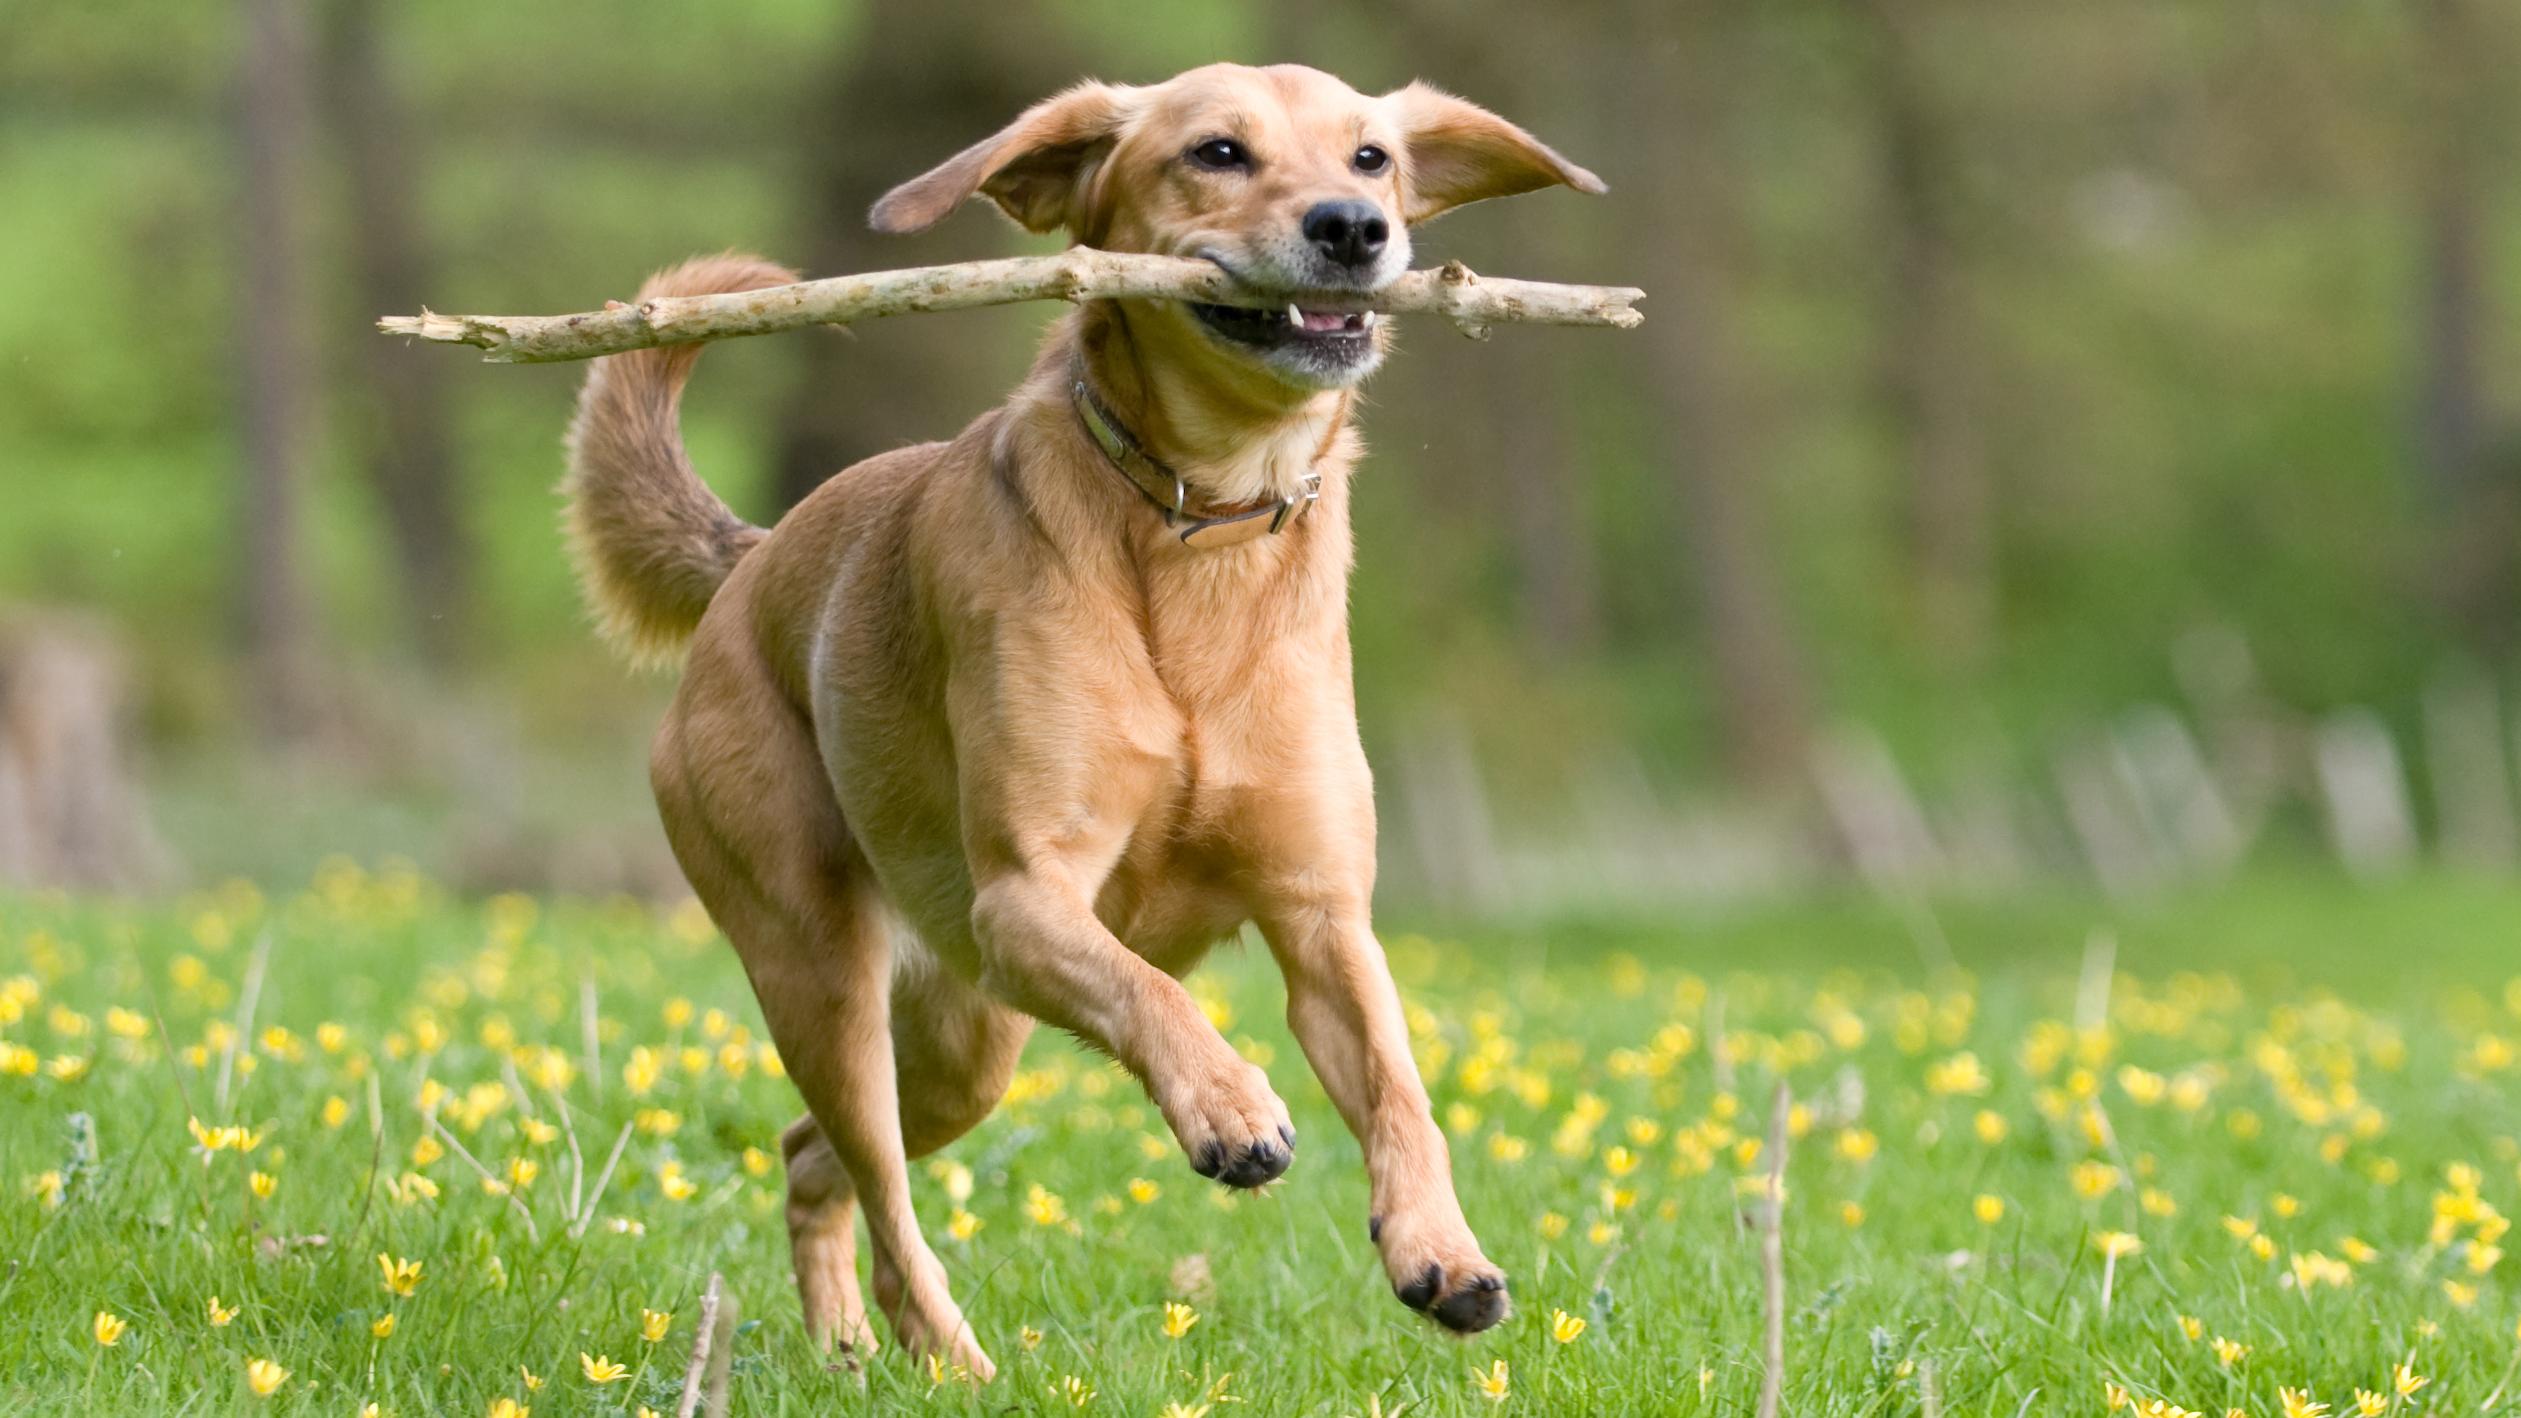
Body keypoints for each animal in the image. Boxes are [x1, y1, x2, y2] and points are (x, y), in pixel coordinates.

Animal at [564, 63, 1603, 1372]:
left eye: (1371, 156)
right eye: (1217, 152)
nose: (1354, 229)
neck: (1203, 523)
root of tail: (750, 564)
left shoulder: (1322, 917)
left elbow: (1401, 1090)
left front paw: (1440, 1249)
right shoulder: (1026, 901)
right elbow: (1152, 989)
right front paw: (1228, 1103)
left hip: (966, 1040)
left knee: (813, 1156)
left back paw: (852, 1343)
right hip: (822, 969)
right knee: (876, 1173)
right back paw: (952, 1356)